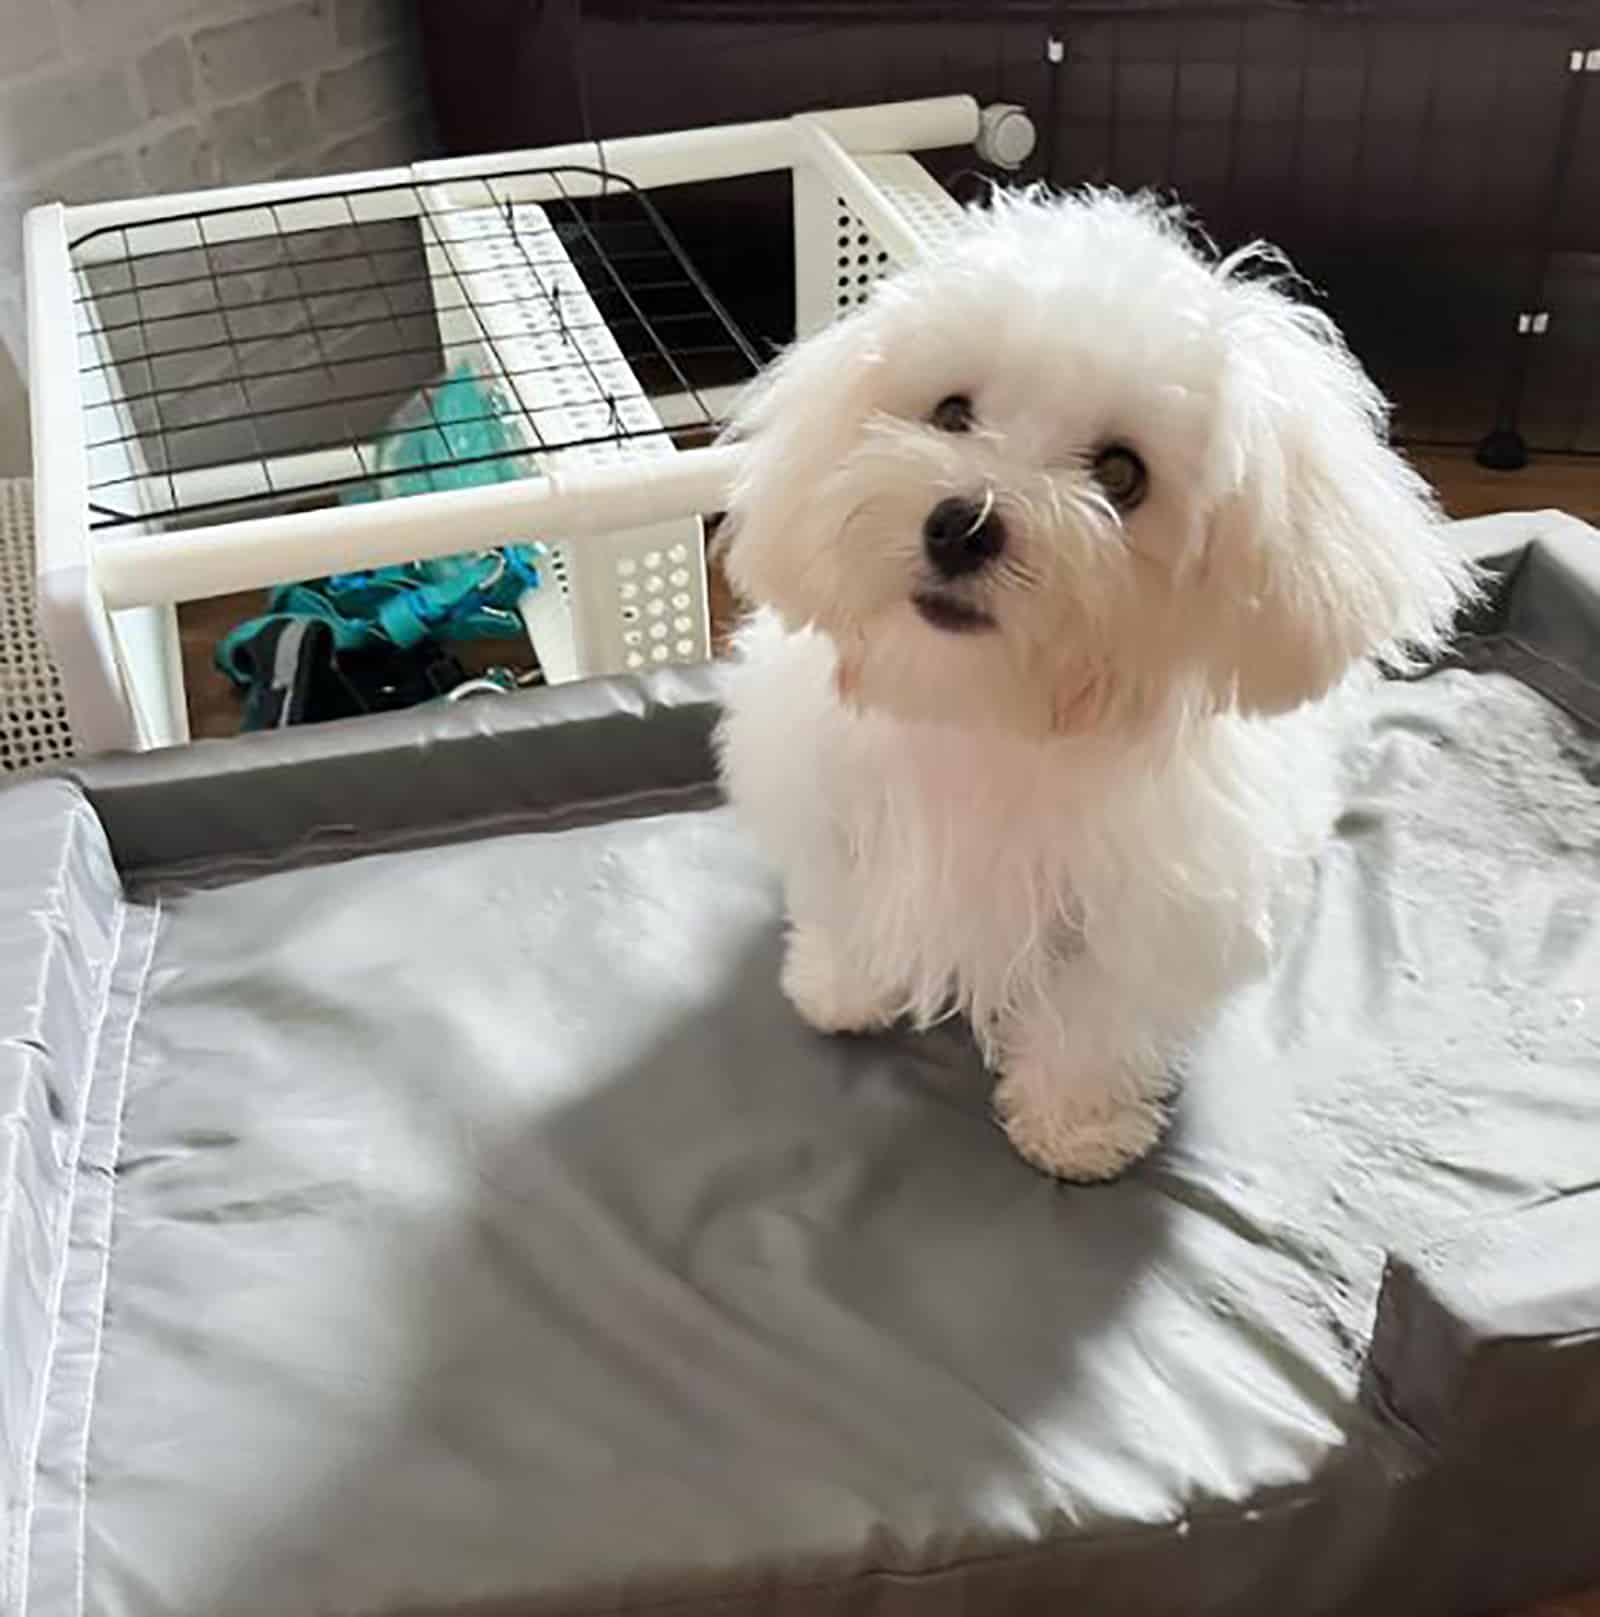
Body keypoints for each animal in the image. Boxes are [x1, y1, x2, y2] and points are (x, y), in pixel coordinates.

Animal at [718, 189, 1468, 1183]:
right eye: (950, 411)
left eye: (1122, 473)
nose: (962, 524)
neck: (986, 714)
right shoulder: (831, 800)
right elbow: (843, 896)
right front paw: (841, 985)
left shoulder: (1150, 901)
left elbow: (1097, 1012)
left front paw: (1075, 1127)